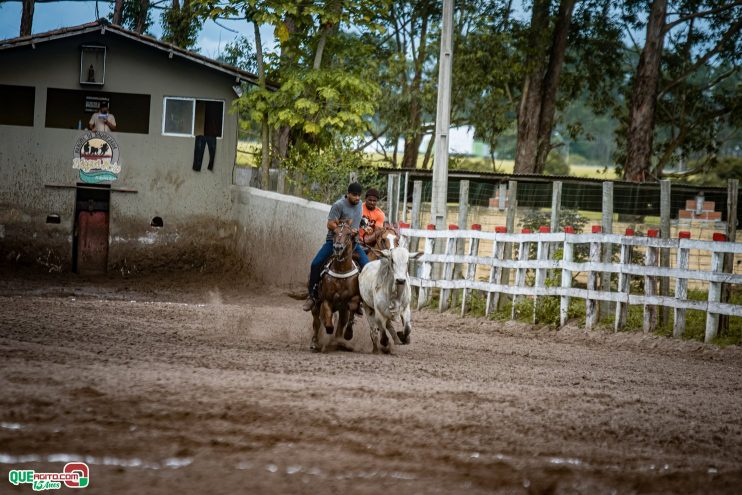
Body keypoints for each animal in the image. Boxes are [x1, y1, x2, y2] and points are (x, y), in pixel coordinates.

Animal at [310, 221, 364, 352]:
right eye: (334, 232)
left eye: (349, 233)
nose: (338, 247)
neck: (341, 271)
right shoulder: (327, 299)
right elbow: (328, 322)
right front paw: (329, 329)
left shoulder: (353, 298)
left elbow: (352, 309)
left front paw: (348, 334)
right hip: (316, 303)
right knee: (316, 320)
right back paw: (315, 342)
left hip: (342, 308)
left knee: (341, 322)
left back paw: (339, 341)